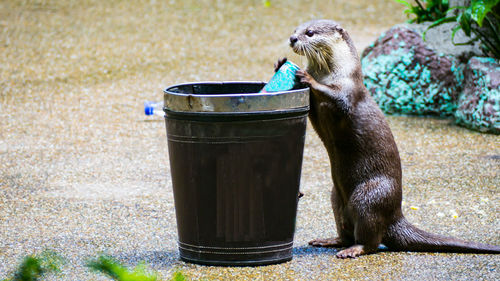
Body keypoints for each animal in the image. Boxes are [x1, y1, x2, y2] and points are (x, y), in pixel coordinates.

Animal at [276, 18, 500, 258]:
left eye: (309, 32)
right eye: (296, 30)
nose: (293, 38)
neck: (331, 74)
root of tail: (395, 215)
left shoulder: (348, 90)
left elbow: (336, 97)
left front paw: (306, 77)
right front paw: (280, 65)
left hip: (369, 197)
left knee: (371, 240)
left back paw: (353, 250)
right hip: (335, 197)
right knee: (345, 231)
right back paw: (329, 240)